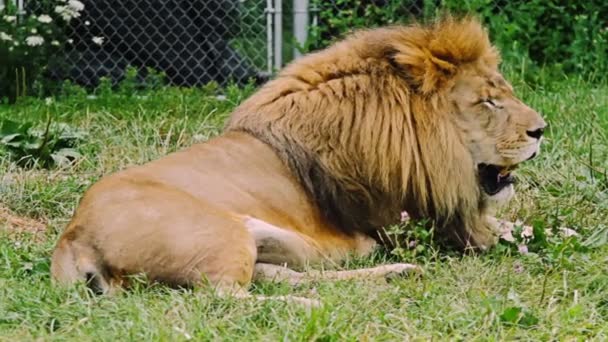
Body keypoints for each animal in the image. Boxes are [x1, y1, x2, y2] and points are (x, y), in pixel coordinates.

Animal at [51, 16, 548, 304]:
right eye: (487, 102)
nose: (542, 130)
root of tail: (74, 238)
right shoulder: (413, 222)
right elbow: (503, 231)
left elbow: (520, 227)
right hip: (223, 236)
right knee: (222, 298)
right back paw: (311, 304)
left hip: (267, 238)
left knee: (274, 276)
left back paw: (394, 275)